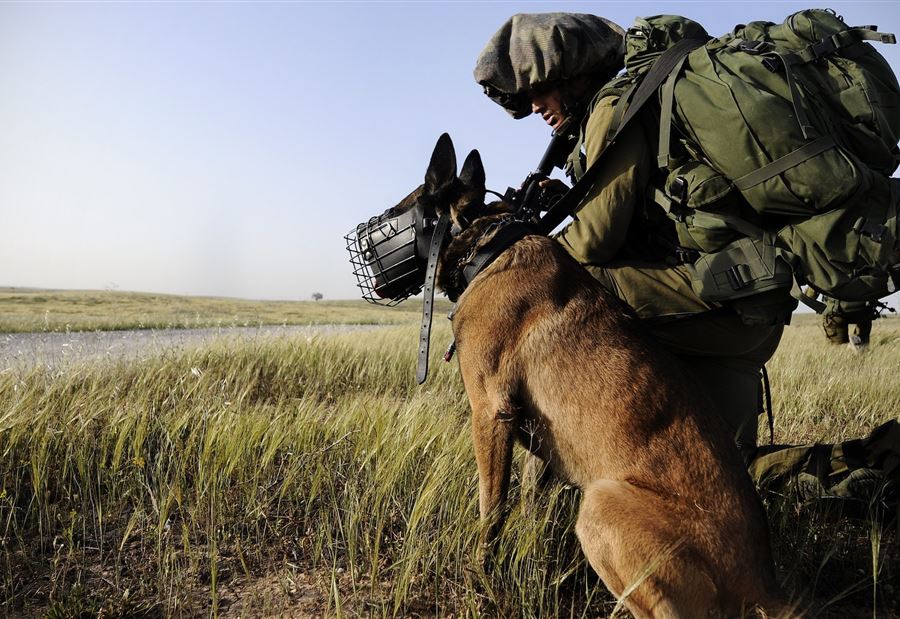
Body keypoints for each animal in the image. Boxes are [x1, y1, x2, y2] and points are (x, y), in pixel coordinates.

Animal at [393, 134, 793, 618]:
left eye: (399, 210)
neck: (489, 243)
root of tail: (764, 584)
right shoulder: (534, 436)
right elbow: (529, 506)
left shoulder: (490, 412)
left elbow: (492, 510)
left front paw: (479, 577)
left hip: (600, 505)